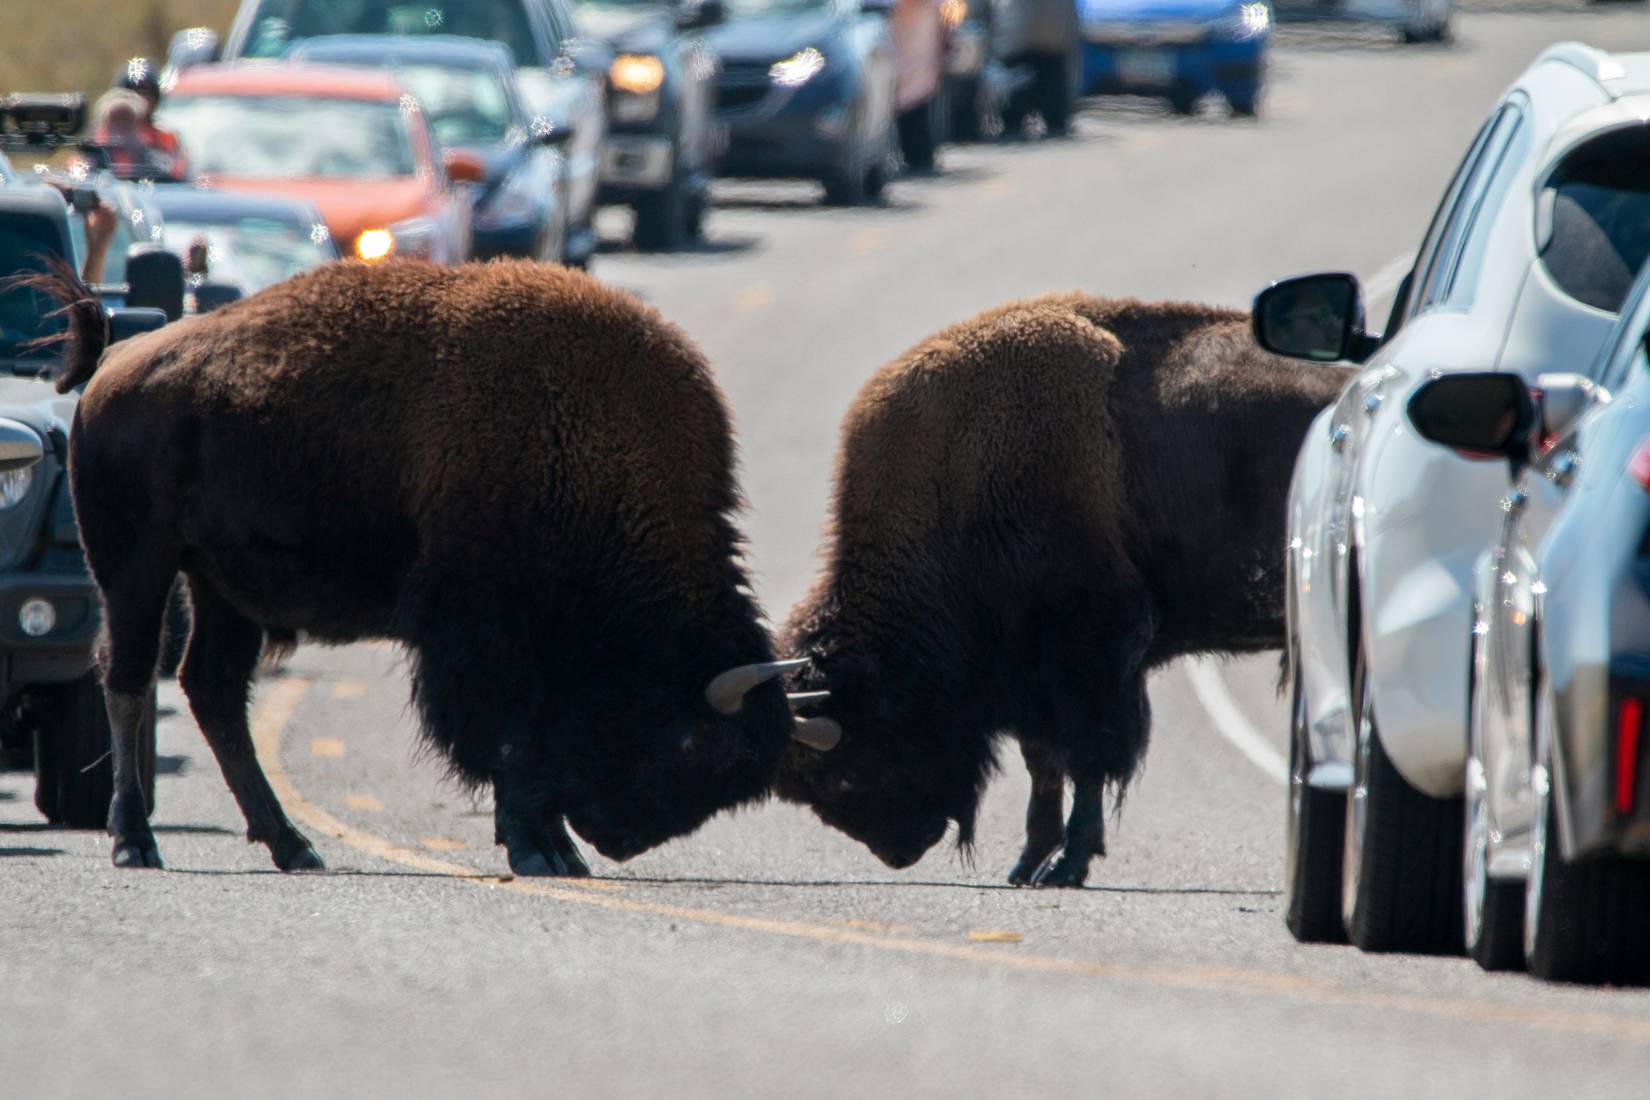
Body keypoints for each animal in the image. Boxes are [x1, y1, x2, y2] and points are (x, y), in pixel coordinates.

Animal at [36, 258, 835, 875]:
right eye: (691, 743)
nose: (620, 841)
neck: (592, 451)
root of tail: (114, 363)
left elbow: (529, 743)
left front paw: (558, 848)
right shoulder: (480, 634)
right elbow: (506, 739)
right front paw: (539, 849)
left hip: (221, 588)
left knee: (213, 691)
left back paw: (293, 846)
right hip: (135, 568)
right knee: (129, 677)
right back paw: (135, 842)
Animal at [777, 293, 1352, 886]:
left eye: (845, 772)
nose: (898, 850)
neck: (957, 482)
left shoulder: (1092, 655)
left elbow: (1089, 759)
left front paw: (1066, 863)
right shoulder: (1033, 676)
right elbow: (1045, 763)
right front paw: (1029, 861)